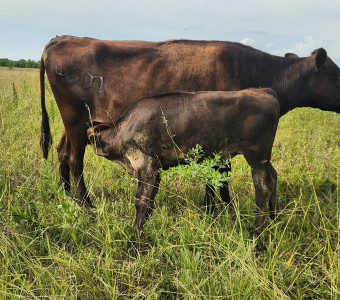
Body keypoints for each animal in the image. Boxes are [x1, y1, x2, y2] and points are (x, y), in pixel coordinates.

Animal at [39, 36, 340, 207]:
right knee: (75, 159)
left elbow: (216, 175)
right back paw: (85, 204)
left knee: (62, 152)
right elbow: (220, 176)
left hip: (77, 123)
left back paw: (64, 194)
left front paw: (214, 208)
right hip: (75, 118)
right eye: (336, 73)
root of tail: (63, 38)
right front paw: (220, 210)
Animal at [86, 88, 280, 234]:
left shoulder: (146, 166)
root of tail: (264, 91)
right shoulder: (157, 169)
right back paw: (274, 217)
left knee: (263, 189)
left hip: (256, 157)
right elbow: (151, 200)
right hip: (264, 159)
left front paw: (135, 232)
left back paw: (255, 232)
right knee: (273, 177)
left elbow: (141, 201)